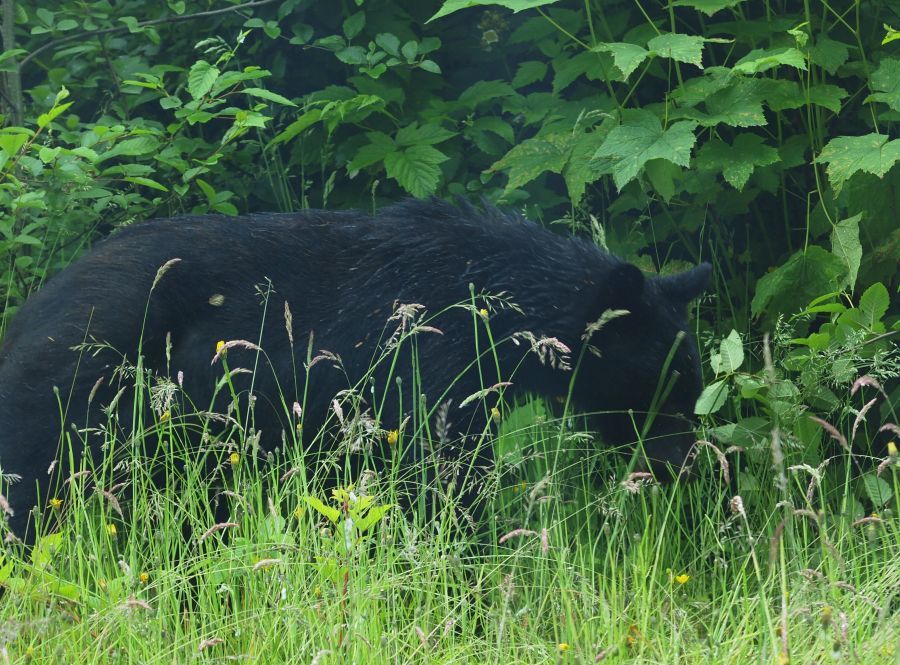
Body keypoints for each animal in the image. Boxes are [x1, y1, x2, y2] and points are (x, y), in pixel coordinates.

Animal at [0, 198, 712, 540]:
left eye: (691, 384)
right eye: (662, 386)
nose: (691, 468)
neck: (499, 306)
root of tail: (28, 315)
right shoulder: (429, 368)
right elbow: (440, 481)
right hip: (83, 395)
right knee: (32, 486)